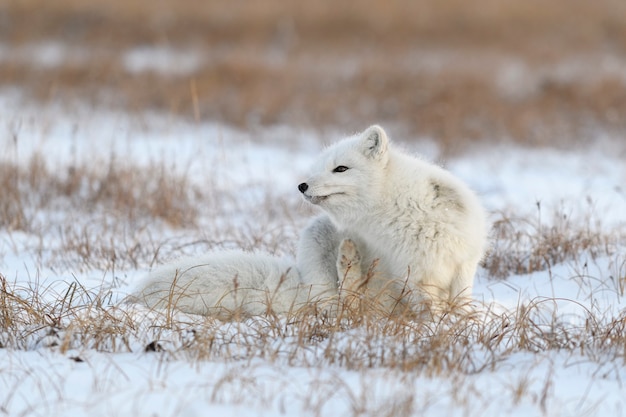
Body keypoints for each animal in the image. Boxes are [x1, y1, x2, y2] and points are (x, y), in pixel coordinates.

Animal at [134, 125, 488, 316]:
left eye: (341, 169)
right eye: (318, 170)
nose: (302, 185)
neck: (397, 210)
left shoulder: (463, 262)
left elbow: (460, 300)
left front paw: (458, 324)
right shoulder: (410, 275)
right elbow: (428, 305)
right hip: (317, 236)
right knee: (343, 303)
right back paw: (347, 260)